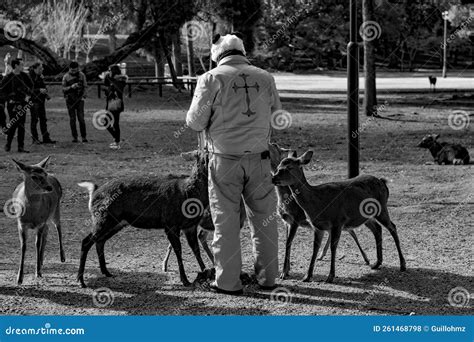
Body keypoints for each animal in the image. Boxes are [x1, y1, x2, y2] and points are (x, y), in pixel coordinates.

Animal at [266, 143, 370, 280]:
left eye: (277, 147)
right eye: (278, 167)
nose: (273, 178)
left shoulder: (295, 219)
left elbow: (288, 242)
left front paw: (284, 273)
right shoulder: (286, 221)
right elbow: (287, 242)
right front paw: (287, 270)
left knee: (351, 232)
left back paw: (367, 259)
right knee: (340, 232)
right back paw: (321, 255)